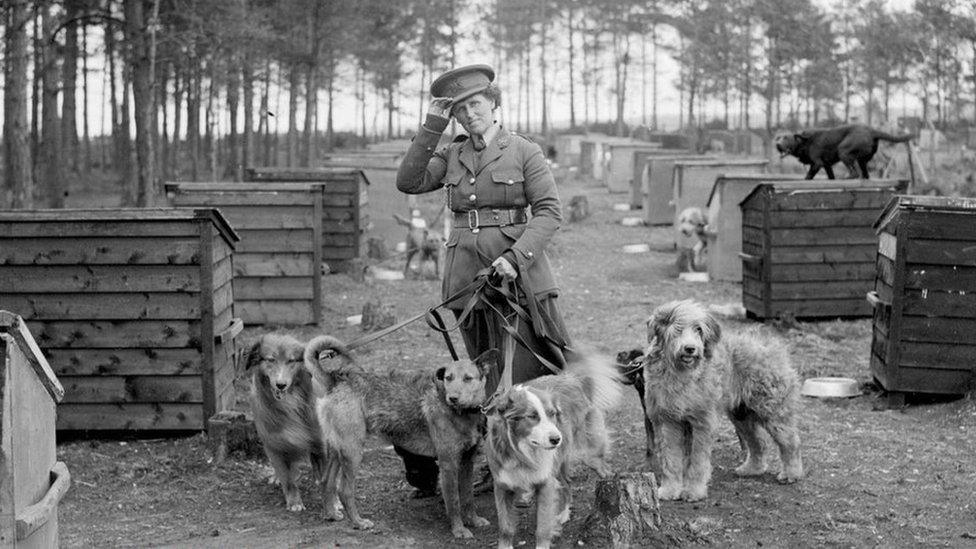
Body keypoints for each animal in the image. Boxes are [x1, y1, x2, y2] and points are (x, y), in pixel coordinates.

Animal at [306, 336, 492, 536]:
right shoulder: (448, 464)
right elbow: (454, 501)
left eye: (468, 378)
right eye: (448, 378)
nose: (453, 398)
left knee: (326, 481)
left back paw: (331, 514)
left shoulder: (467, 462)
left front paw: (473, 520)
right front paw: (459, 530)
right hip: (352, 451)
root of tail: (335, 381)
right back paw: (358, 522)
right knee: (344, 490)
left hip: (337, 450)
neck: (462, 413)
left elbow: (468, 497)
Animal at [484, 352, 620, 548]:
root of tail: (571, 378)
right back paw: (564, 514)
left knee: (604, 470)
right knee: (566, 484)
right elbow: (505, 527)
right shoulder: (502, 487)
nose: (557, 439)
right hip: (558, 465)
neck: (523, 453)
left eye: (552, 414)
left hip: (588, 454)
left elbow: (542, 528)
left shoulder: (545, 484)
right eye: (532, 416)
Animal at [640, 300, 800, 500]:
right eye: (677, 328)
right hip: (741, 415)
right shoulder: (667, 421)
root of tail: (768, 344)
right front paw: (670, 490)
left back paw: (791, 474)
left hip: (773, 410)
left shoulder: (702, 422)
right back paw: (752, 469)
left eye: (698, 329)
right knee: (759, 443)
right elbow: (670, 460)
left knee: (790, 441)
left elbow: (698, 461)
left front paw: (693, 491)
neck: (681, 373)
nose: (690, 349)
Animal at [772, 123, 912, 179]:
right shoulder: (827, 165)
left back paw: (847, 177)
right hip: (862, 161)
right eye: (778, 138)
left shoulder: (817, 164)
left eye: (786, 138)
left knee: (855, 173)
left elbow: (808, 176)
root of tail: (872, 131)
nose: (777, 145)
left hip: (843, 152)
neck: (804, 142)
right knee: (865, 175)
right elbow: (831, 177)